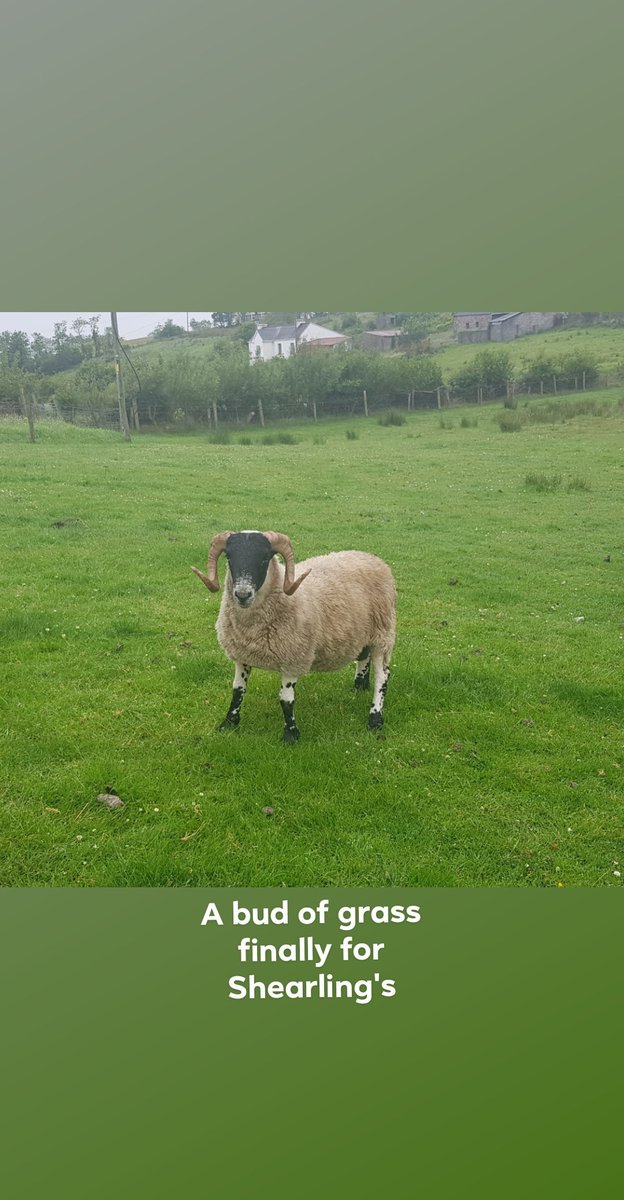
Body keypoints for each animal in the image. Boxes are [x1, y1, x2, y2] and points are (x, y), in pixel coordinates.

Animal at [192, 530, 396, 742]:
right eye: (229, 557)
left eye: (265, 558)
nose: (242, 594)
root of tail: (372, 557)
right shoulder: (242, 655)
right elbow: (237, 691)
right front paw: (229, 723)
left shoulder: (293, 659)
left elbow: (286, 700)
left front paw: (290, 735)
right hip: (363, 633)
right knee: (363, 658)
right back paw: (359, 687)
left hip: (383, 634)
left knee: (383, 676)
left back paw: (375, 718)